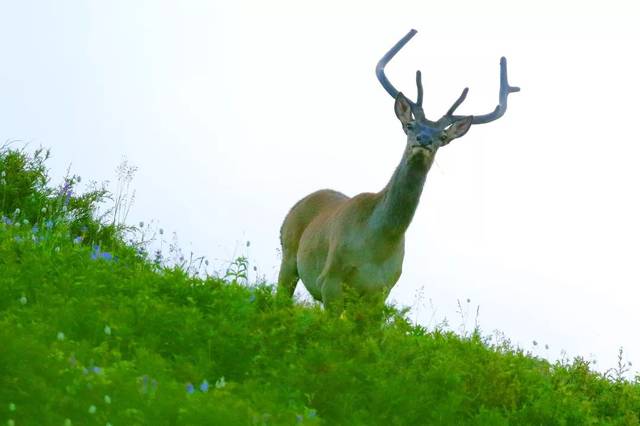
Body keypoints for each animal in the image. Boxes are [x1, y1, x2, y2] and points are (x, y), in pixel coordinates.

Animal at [278, 28, 516, 312]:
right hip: (288, 253)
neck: (377, 245)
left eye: (442, 137)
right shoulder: (330, 279)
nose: (424, 140)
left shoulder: (381, 291)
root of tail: (297, 205)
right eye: (410, 126)